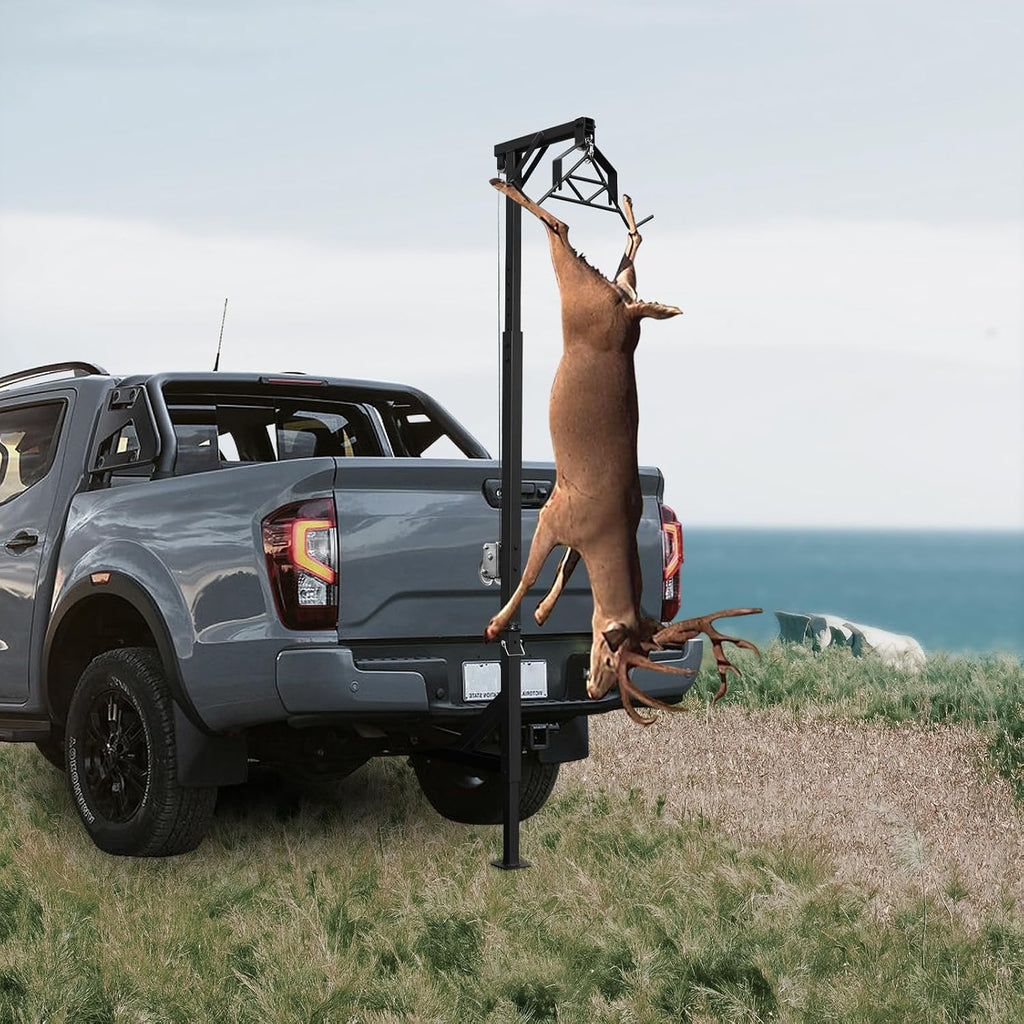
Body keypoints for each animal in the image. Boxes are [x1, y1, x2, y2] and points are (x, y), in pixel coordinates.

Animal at [484, 177, 760, 724]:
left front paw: (542, 613)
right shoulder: (555, 515)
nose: (594, 689)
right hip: (586, 299)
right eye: (618, 654)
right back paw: (507, 183)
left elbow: (563, 568)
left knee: (607, 256)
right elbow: (529, 571)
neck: (607, 532)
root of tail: (627, 314)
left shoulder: (566, 523)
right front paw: (498, 624)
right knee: (570, 233)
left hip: (602, 299)